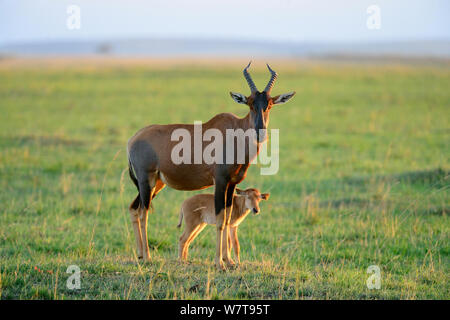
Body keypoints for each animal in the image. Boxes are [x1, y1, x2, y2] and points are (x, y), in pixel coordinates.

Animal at [126, 62, 296, 270]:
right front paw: (219, 263)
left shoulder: (232, 184)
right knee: (144, 212)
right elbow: (220, 220)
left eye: (269, 104)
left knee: (134, 208)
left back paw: (140, 255)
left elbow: (228, 216)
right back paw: (148, 257)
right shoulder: (220, 181)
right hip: (146, 180)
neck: (234, 132)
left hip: (157, 183)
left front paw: (229, 261)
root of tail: (133, 140)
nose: (260, 132)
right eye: (250, 103)